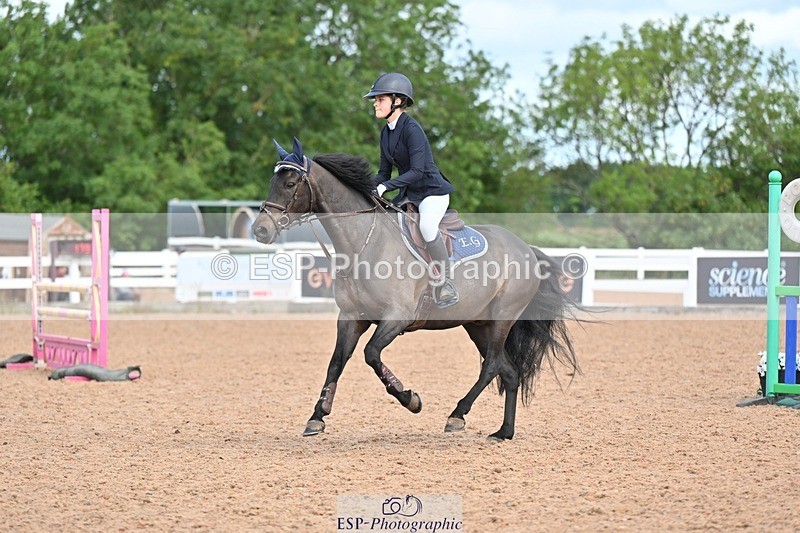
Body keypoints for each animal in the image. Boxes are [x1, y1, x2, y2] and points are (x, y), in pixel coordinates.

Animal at [252, 137, 581, 442]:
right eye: (272, 182)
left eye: (290, 183)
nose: (260, 230)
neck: (364, 244)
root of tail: (525, 248)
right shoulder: (350, 317)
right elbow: (336, 363)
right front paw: (317, 417)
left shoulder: (397, 317)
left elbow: (371, 354)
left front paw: (410, 399)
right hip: (478, 324)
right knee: (508, 371)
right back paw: (503, 432)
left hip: (503, 317)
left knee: (491, 366)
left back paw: (457, 415)